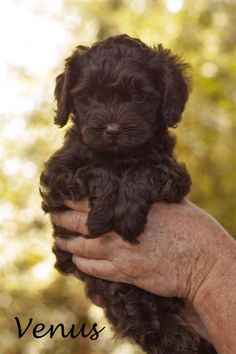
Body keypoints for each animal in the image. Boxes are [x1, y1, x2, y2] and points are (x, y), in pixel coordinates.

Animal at [39, 34, 217, 354]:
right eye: (90, 97)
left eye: (138, 98)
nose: (112, 130)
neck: (119, 156)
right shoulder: (58, 174)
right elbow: (96, 170)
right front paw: (101, 215)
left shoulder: (173, 174)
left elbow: (142, 171)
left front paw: (127, 216)